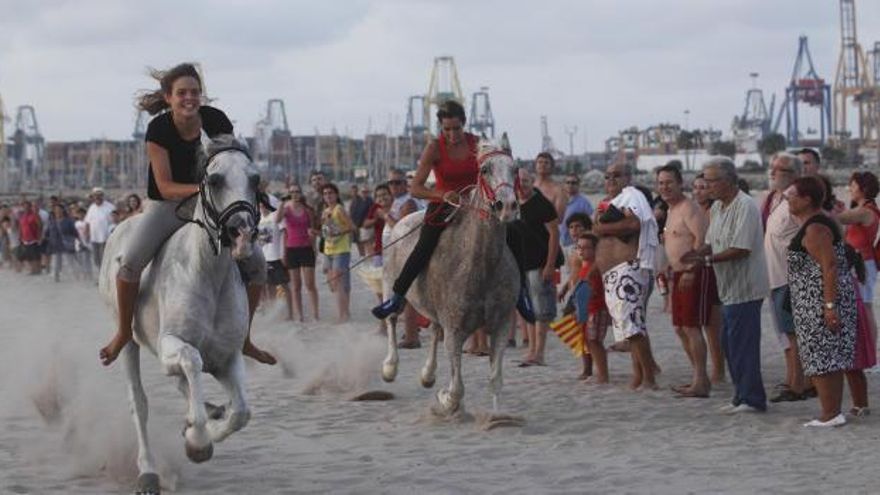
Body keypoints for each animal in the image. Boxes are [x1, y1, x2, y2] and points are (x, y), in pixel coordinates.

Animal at [99, 134, 260, 494]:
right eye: (215, 180)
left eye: (255, 178)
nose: (242, 234)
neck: (209, 274)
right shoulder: (173, 345)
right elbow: (192, 361)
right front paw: (197, 442)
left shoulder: (228, 356)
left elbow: (241, 412)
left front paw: (205, 428)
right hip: (128, 342)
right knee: (140, 403)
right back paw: (148, 472)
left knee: (186, 388)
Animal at [380, 140, 520, 418]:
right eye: (485, 169)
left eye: (515, 169)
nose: (508, 206)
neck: (481, 265)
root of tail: (400, 222)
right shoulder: (455, 331)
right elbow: (457, 390)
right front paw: (445, 399)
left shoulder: (500, 325)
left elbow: (495, 380)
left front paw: (497, 417)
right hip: (392, 288)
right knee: (391, 318)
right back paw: (390, 367)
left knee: (434, 330)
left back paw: (428, 375)